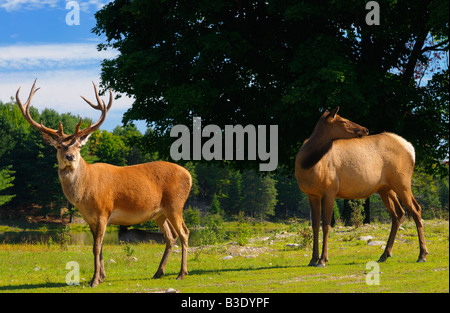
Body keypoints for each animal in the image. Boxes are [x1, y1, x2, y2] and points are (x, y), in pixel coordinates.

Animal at [296, 106, 428, 266]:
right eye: (343, 121)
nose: (365, 129)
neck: (307, 164)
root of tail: (411, 148)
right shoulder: (312, 194)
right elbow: (315, 225)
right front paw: (313, 259)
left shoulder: (330, 190)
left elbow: (326, 225)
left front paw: (322, 259)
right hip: (385, 187)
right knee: (398, 212)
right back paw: (385, 254)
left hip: (402, 182)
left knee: (416, 209)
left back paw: (422, 254)